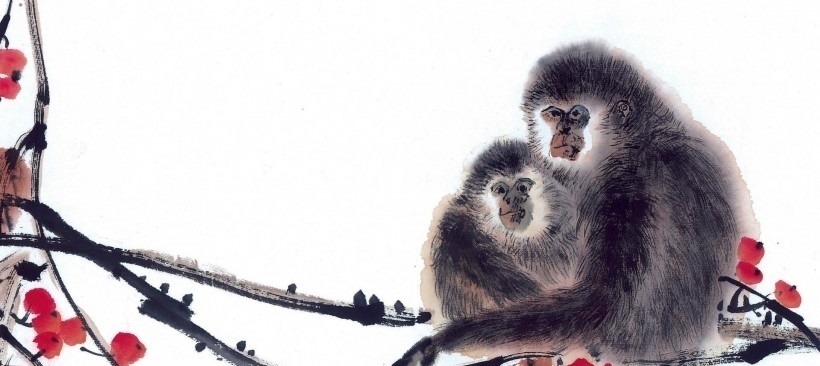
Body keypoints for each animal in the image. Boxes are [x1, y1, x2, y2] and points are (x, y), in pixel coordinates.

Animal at [394, 41, 760, 364]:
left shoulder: (628, 191)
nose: (562, 134)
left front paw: (442, 339)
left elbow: (598, 308)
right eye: (554, 114)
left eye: (577, 114)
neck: (638, 143)